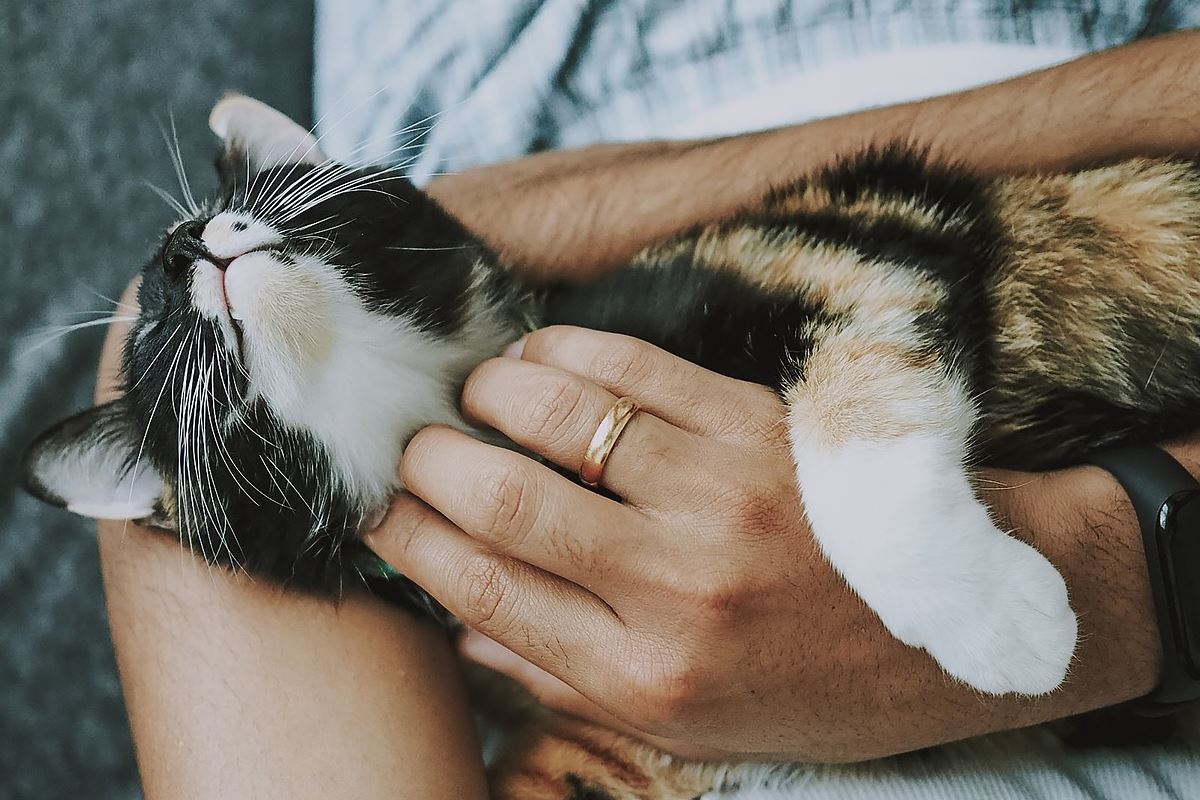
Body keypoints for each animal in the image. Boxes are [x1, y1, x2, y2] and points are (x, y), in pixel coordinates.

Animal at [21, 95, 1200, 800]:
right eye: (159, 332)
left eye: (256, 196)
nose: (182, 249)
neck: (442, 399)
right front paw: (1002, 619)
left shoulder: (845, 232)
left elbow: (853, 417)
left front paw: (994, 619)